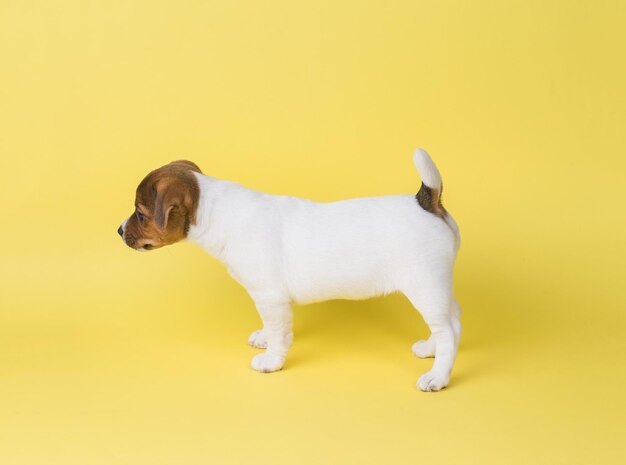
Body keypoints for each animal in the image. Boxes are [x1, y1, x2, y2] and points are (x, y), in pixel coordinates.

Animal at [118, 150, 458, 392]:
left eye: (140, 214)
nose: (119, 231)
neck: (216, 213)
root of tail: (426, 203)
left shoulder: (270, 297)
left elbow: (279, 333)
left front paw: (271, 361)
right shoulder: (268, 300)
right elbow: (272, 327)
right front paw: (264, 338)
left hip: (425, 287)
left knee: (448, 333)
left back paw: (437, 377)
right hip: (438, 286)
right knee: (454, 323)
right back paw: (430, 349)